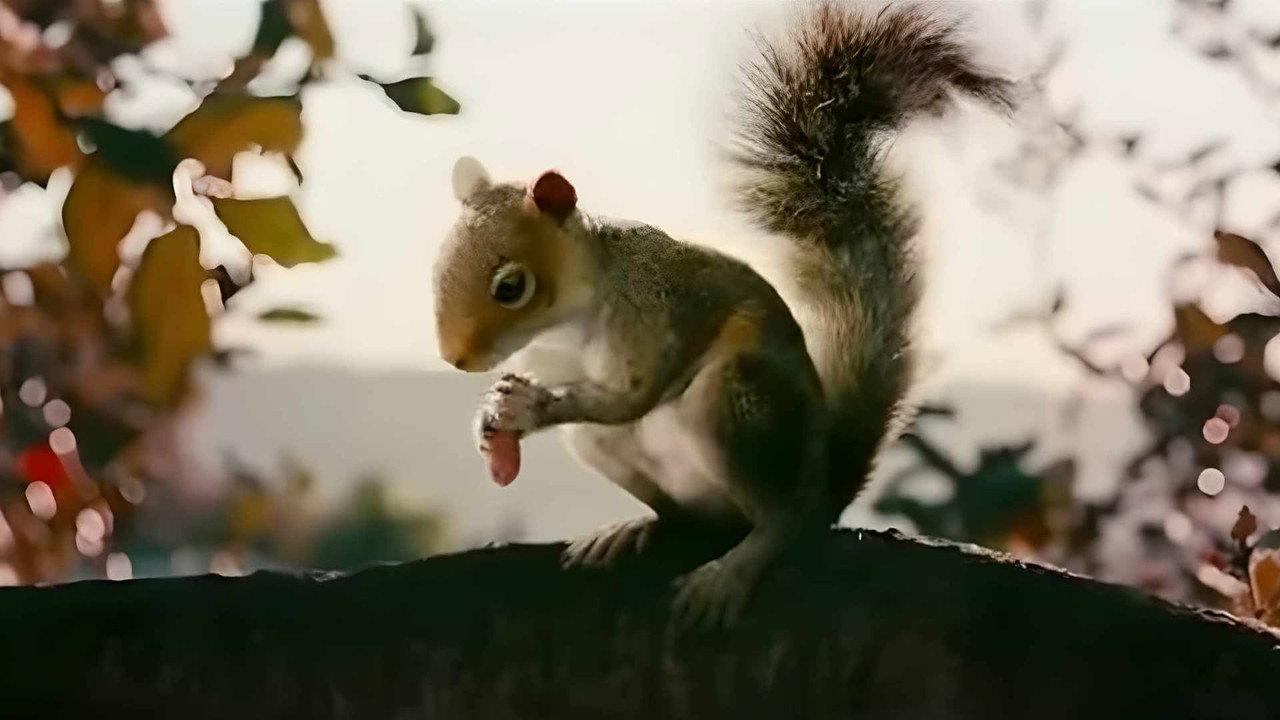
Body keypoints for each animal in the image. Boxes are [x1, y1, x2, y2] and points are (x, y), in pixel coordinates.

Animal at [432, 2, 1010, 628]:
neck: (564, 327)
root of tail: (823, 491)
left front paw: (529, 407)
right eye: (437, 265)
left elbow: (633, 394)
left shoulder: (653, 313)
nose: (456, 359)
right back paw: (633, 529)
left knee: (781, 523)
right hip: (607, 449)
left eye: (511, 287)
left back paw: (735, 568)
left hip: (738, 404)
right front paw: (491, 422)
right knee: (683, 516)